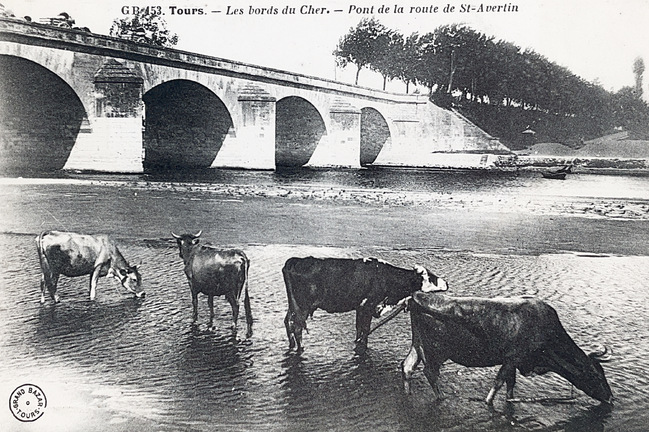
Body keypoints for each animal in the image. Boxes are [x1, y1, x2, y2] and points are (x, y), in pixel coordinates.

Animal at [280, 255, 448, 352]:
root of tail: (294, 261)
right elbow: (365, 329)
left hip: (294, 306)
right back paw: (300, 348)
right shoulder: (368, 306)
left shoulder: (360, 307)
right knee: (297, 327)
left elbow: (359, 328)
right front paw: (362, 347)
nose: (446, 282)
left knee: (287, 321)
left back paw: (292, 345)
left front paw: (357, 342)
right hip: (302, 307)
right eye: (431, 277)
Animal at [400, 292, 612, 406]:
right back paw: (441, 397)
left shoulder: (513, 362)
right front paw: (488, 402)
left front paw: (509, 399)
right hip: (436, 351)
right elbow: (499, 382)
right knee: (430, 372)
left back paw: (408, 393)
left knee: (407, 367)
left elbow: (510, 384)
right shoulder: (512, 359)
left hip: (418, 345)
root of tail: (416, 296)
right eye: (596, 376)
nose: (610, 397)